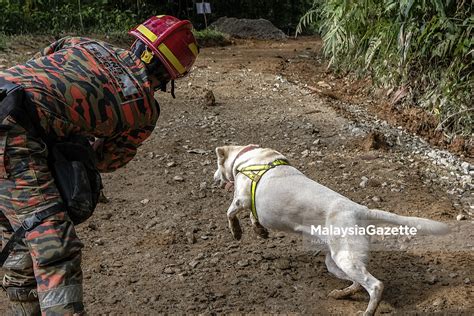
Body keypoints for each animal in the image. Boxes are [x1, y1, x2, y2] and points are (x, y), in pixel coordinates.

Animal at [213, 145, 450, 316]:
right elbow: (254, 217)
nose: (214, 178)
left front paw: (237, 231)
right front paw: (259, 231)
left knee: (375, 285)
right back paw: (342, 294)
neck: (249, 158)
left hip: (345, 258)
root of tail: (359, 210)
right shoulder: (252, 205)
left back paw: (368, 311)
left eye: (217, 165)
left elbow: (230, 212)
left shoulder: (241, 198)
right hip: (336, 261)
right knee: (357, 283)